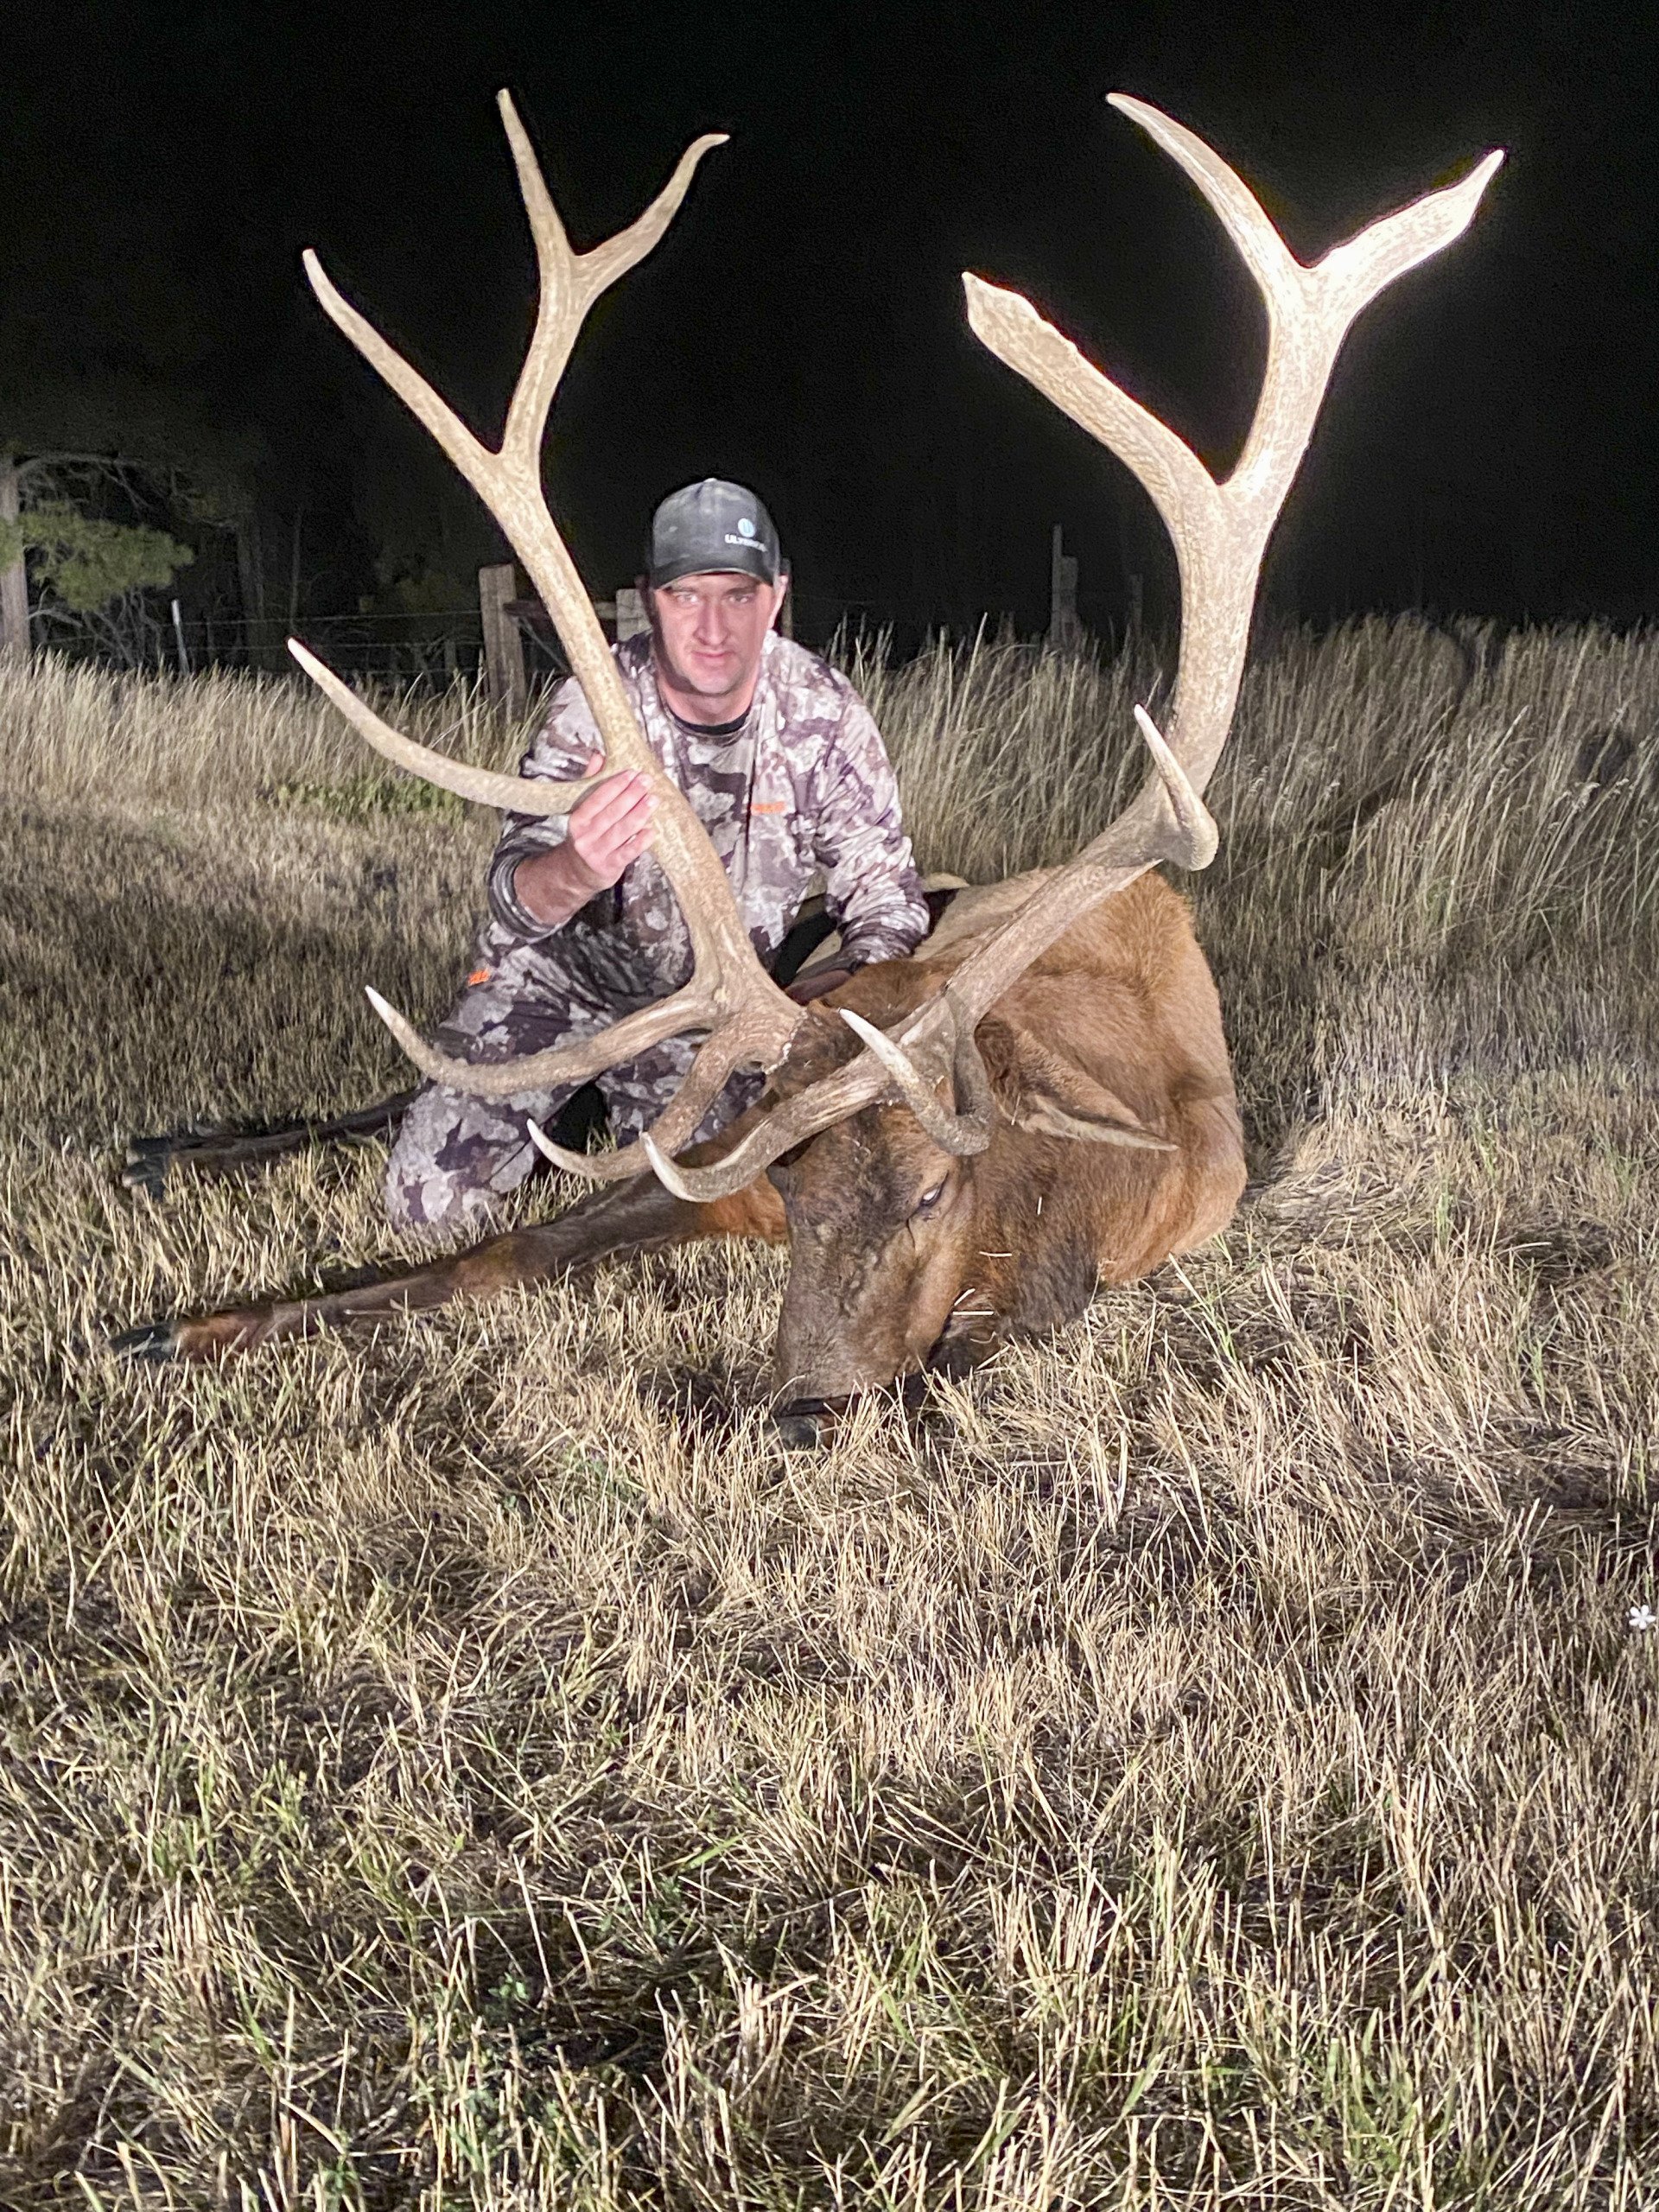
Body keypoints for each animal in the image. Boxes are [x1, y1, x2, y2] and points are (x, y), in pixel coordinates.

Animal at [114, 94, 1500, 1440]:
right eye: (792, 1178)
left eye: (939, 1187)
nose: (805, 1401)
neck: (1088, 1177)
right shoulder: (710, 1156)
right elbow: (492, 1256)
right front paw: (182, 1328)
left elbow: (965, 1358)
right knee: (416, 1106)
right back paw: (170, 1149)